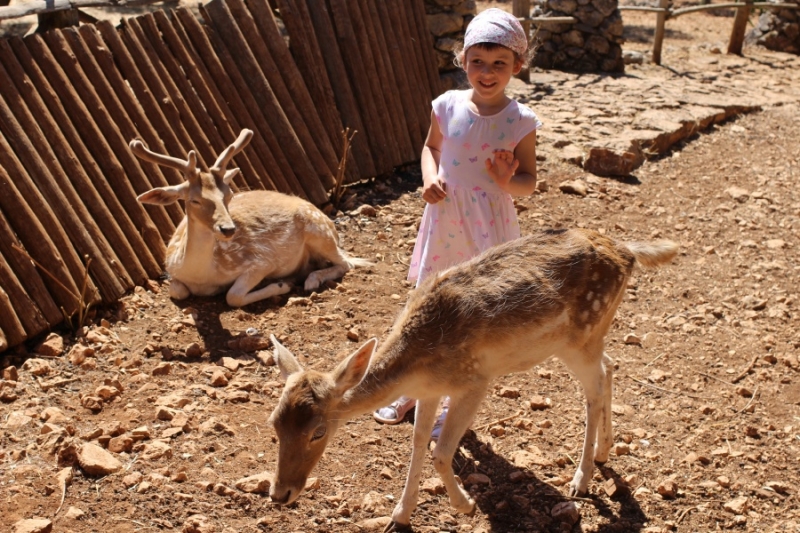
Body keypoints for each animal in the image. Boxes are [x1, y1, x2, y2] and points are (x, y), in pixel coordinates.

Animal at [131, 128, 368, 308]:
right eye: (194, 200)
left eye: (228, 195)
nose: (228, 229)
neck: (200, 275)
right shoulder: (172, 272)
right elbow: (177, 290)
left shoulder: (260, 261)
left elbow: (233, 296)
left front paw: (281, 285)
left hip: (319, 232)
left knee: (347, 263)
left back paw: (310, 279)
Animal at [268, 228, 676, 528]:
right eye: (274, 423)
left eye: (318, 431)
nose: (279, 494)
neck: (417, 367)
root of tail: (628, 252)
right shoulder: (429, 391)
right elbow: (418, 442)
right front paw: (399, 516)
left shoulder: (474, 380)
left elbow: (441, 452)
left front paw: (465, 506)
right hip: (587, 338)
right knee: (610, 366)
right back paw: (605, 451)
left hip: (582, 335)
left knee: (593, 389)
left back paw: (581, 478)